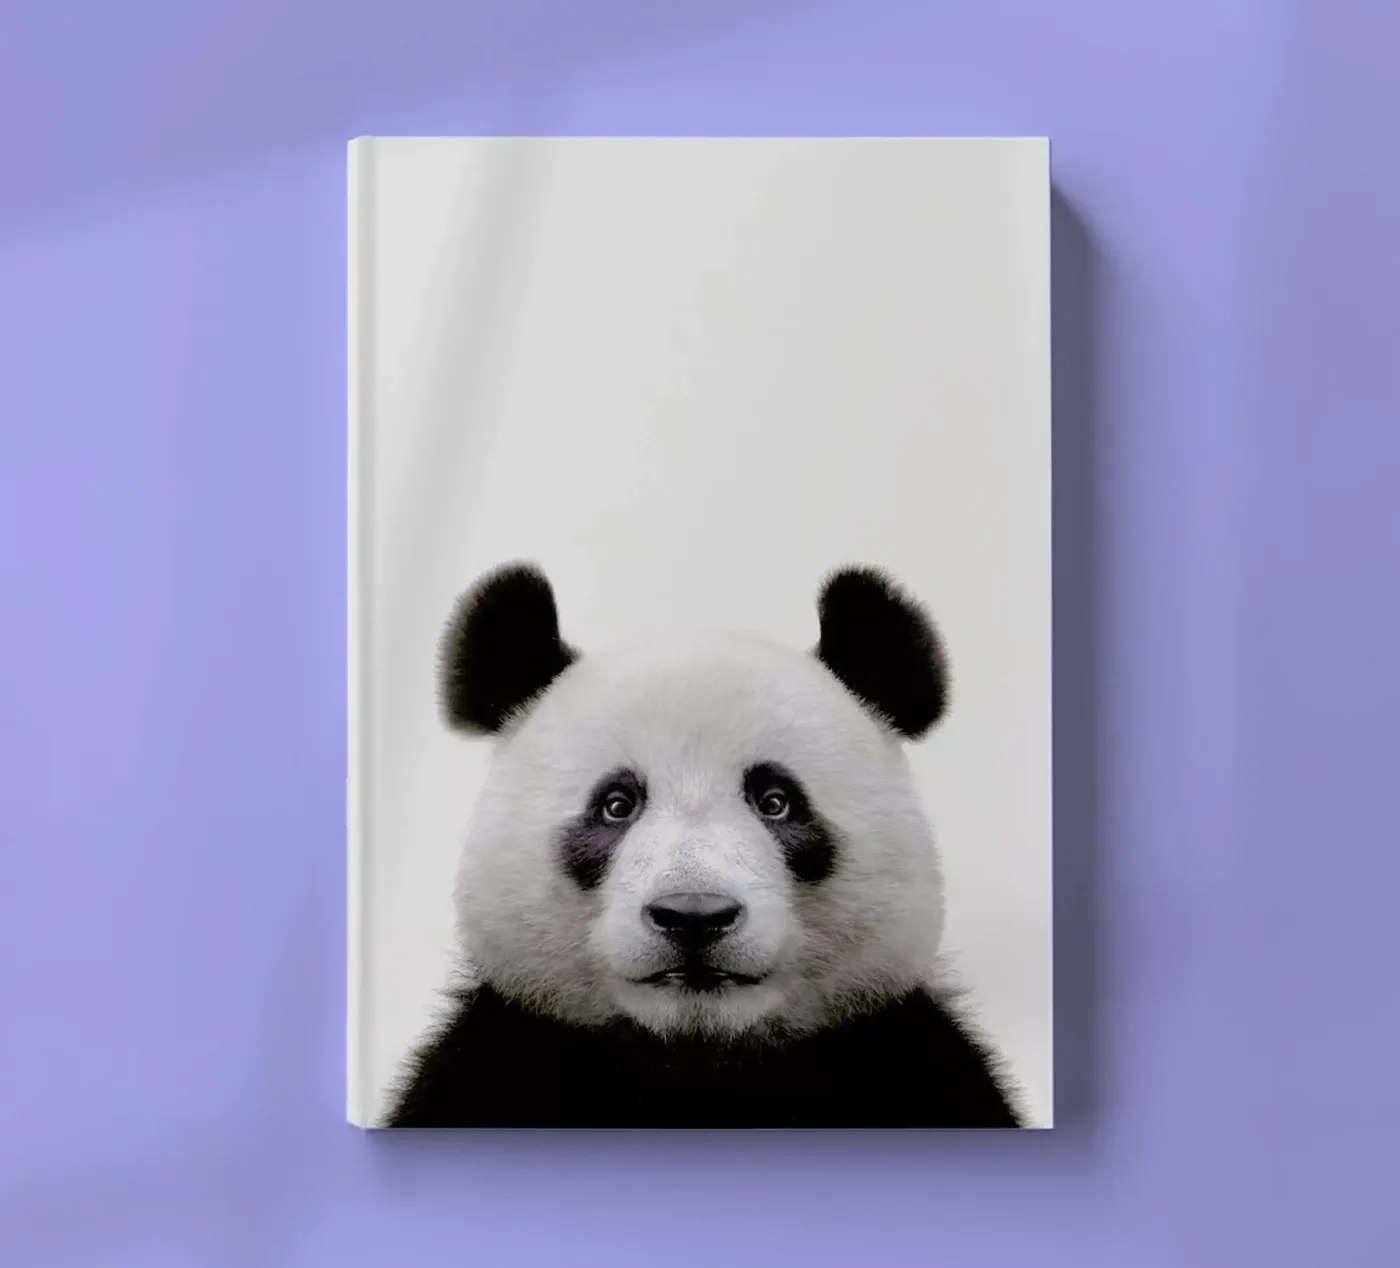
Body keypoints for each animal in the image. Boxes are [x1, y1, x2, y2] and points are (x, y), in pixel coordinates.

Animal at [384, 562, 1022, 1128]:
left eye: (776, 801)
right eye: (617, 805)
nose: (694, 916)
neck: (697, 1063)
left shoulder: (911, 1061)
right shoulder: (494, 1059)